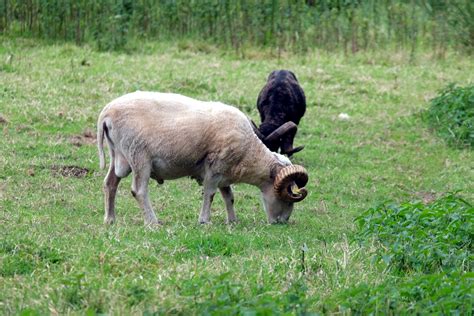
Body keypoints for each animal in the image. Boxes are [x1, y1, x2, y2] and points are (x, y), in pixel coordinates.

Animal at [98, 92, 310, 226]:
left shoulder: (225, 171)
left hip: (119, 156)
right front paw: (204, 220)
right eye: (288, 196)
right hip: (139, 157)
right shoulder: (215, 168)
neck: (250, 153)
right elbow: (210, 194)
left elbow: (229, 196)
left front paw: (232, 221)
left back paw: (110, 219)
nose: (281, 222)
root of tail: (106, 113)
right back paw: (152, 222)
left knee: (110, 183)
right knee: (139, 191)